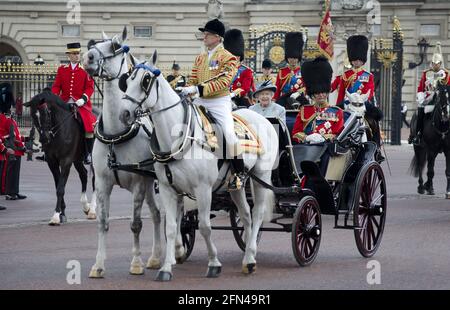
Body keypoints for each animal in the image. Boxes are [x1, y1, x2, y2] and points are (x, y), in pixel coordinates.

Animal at [24, 89, 96, 223]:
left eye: (46, 113)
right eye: (33, 116)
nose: (44, 139)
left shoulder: (66, 161)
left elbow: (60, 188)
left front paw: (56, 215)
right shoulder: (52, 162)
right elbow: (58, 185)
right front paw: (62, 213)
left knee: (95, 180)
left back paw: (93, 210)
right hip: (77, 159)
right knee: (83, 175)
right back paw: (86, 206)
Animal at [82, 27, 163, 278]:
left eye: (115, 46)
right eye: (95, 44)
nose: (87, 57)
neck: (116, 134)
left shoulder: (137, 184)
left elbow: (135, 224)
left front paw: (136, 263)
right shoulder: (102, 183)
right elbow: (103, 222)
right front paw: (98, 265)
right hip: (150, 184)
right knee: (157, 214)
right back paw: (156, 258)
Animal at [121, 53, 280, 280]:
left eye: (146, 80)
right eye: (127, 79)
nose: (124, 114)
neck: (179, 137)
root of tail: (262, 117)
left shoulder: (203, 189)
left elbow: (205, 226)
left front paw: (214, 263)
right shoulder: (169, 189)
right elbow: (171, 227)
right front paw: (165, 269)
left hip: (262, 176)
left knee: (257, 213)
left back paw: (249, 258)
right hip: (235, 185)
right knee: (246, 215)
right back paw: (250, 256)